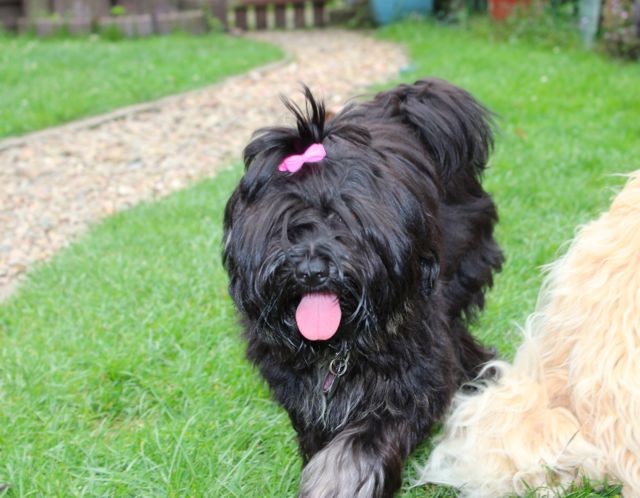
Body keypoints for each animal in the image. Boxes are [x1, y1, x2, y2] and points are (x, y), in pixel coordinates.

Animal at [222, 78, 503, 497]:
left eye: (344, 221)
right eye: (288, 226)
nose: (311, 271)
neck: (335, 346)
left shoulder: (411, 376)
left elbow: (360, 444)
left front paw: (339, 482)